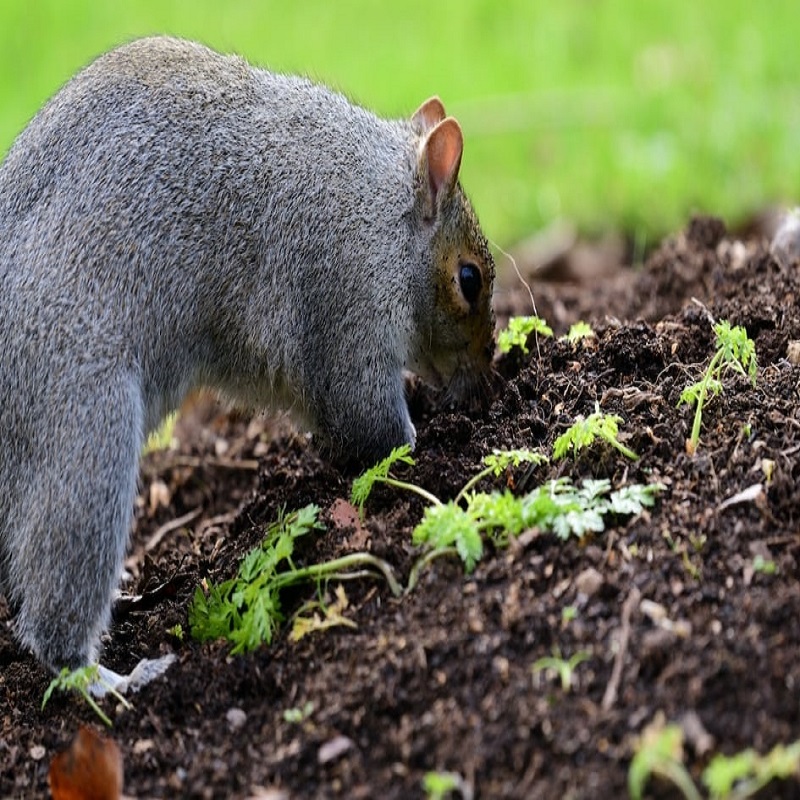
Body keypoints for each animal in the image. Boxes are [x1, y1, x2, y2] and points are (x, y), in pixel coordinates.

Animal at [0, 39, 496, 676]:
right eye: (469, 279)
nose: (488, 375)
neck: (381, 207)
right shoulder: (346, 302)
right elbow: (368, 423)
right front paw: (429, 449)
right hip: (82, 422)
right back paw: (112, 675)